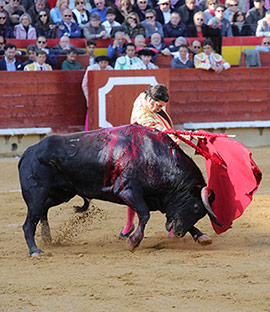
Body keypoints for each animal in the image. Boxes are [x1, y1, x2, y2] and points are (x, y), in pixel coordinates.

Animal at [18, 124, 219, 256]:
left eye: (200, 213)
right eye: (195, 207)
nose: (177, 233)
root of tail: (28, 152)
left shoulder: (161, 201)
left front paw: (201, 237)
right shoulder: (128, 190)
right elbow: (144, 214)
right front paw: (133, 242)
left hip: (61, 193)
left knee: (43, 211)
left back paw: (46, 237)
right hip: (37, 194)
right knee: (29, 222)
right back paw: (35, 250)